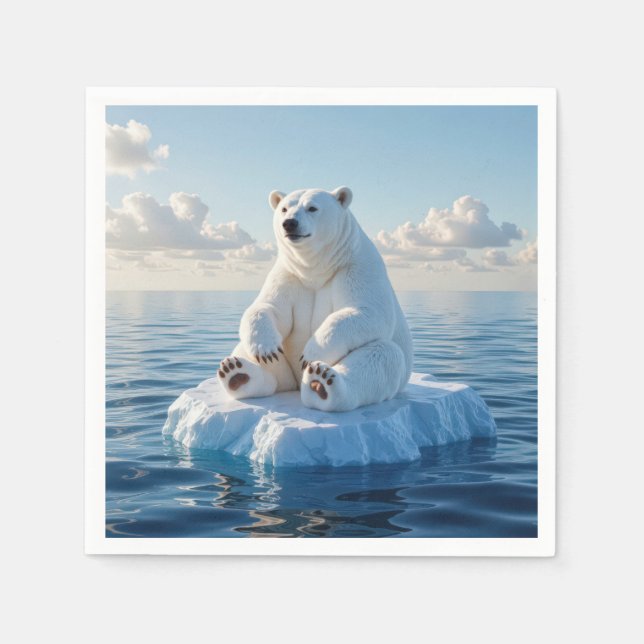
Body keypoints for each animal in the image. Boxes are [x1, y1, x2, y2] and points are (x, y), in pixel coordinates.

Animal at [217, 186, 413, 412]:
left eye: (312, 208)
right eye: (284, 208)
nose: (289, 223)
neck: (316, 269)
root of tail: (296, 384)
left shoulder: (358, 266)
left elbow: (369, 311)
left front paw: (311, 354)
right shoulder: (288, 273)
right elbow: (269, 307)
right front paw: (266, 348)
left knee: (383, 356)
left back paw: (321, 383)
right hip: (283, 371)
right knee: (259, 362)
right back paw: (237, 372)